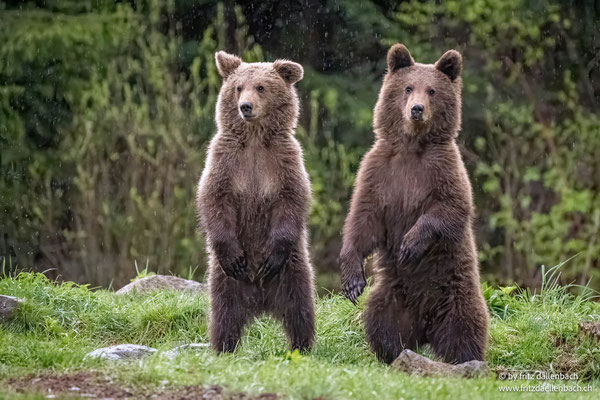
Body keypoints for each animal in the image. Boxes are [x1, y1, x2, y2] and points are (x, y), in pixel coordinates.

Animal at [198, 50, 318, 354]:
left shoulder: (284, 160)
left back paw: (302, 346)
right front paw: (231, 253)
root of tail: (260, 300)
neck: (253, 139)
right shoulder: (225, 161)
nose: (245, 106)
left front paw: (272, 255)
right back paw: (224, 347)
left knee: (300, 310)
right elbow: (213, 197)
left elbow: (292, 199)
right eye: (238, 87)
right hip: (225, 280)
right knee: (223, 314)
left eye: (261, 87)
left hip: (293, 270)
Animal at [338, 43, 488, 366]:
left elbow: (450, 209)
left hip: (456, 292)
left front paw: (409, 245)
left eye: (431, 90)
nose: (416, 109)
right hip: (392, 297)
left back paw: (466, 360)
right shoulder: (379, 173)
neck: (412, 148)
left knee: (465, 327)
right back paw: (392, 355)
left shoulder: (443, 170)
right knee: (381, 322)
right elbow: (363, 219)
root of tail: (425, 329)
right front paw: (352, 280)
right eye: (407, 88)